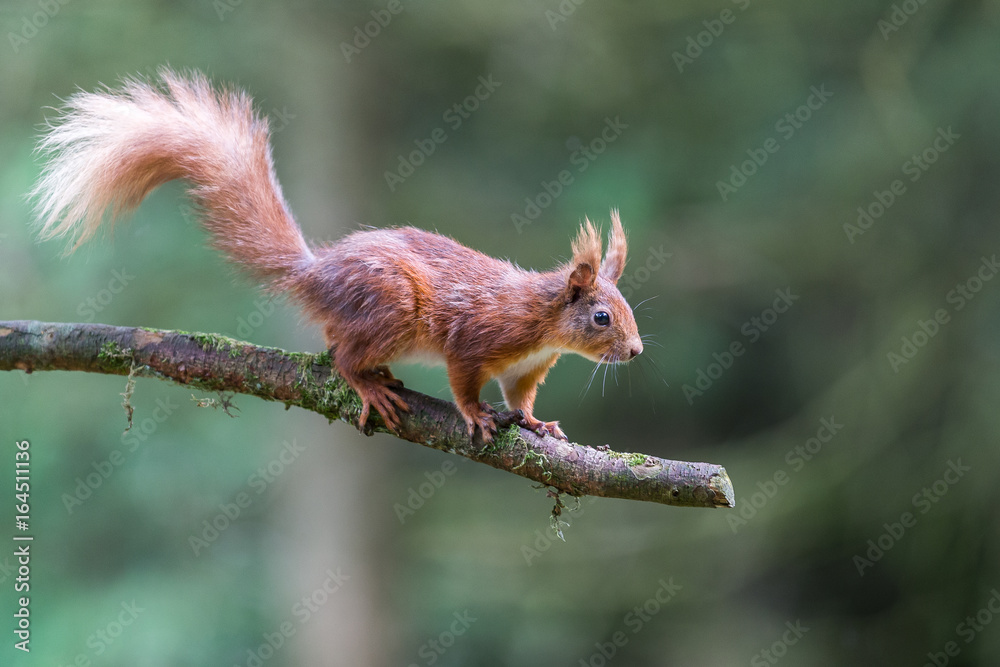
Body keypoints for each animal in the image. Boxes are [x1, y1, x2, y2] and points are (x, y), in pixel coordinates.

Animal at [31, 69, 644, 444]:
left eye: (627, 310)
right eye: (601, 317)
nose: (636, 351)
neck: (543, 325)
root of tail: (315, 275)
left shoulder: (525, 369)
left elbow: (520, 397)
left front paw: (539, 423)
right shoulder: (478, 337)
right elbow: (464, 381)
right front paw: (475, 415)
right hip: (391, 306)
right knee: (344, 357)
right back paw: (369, 383)